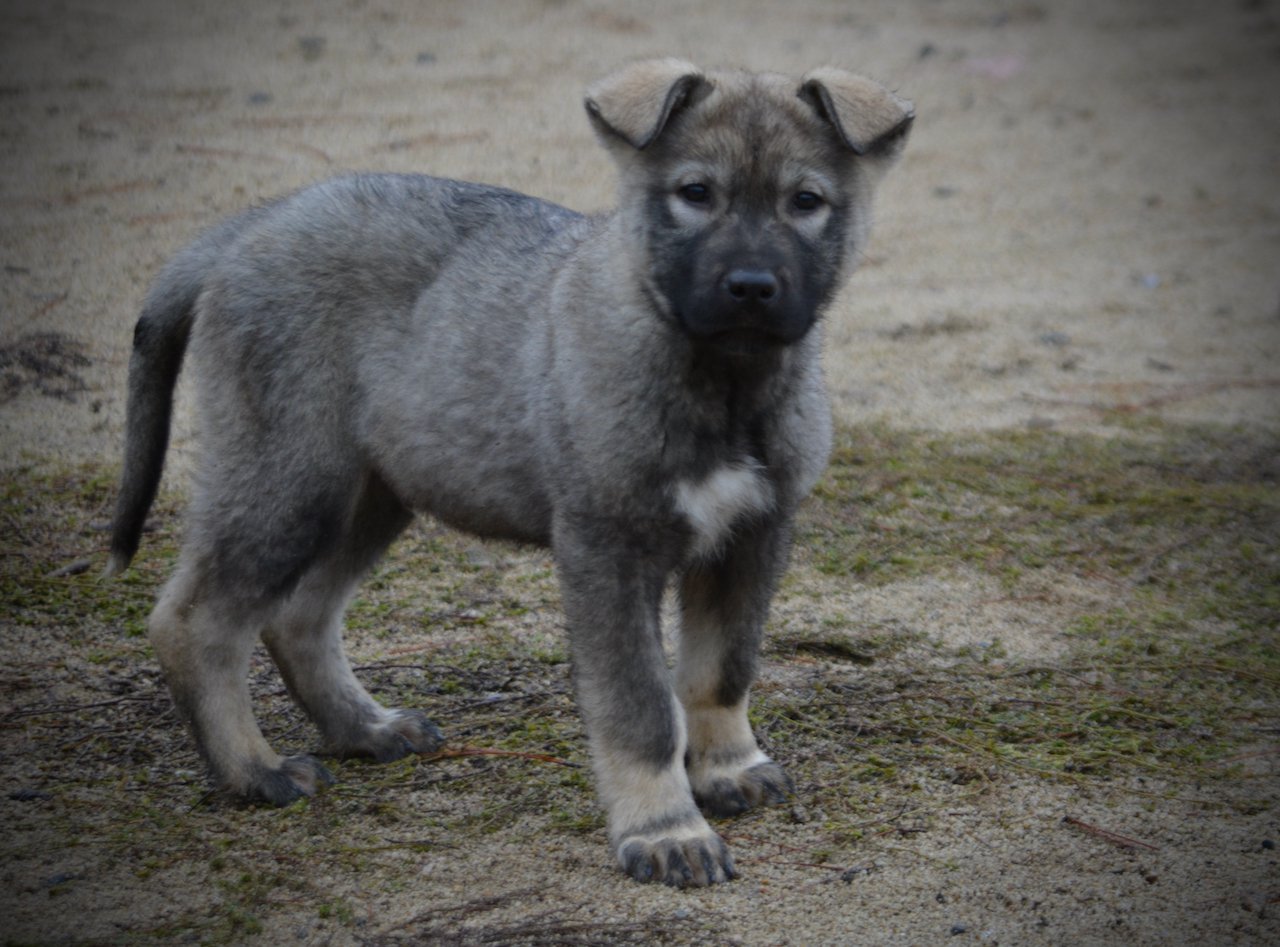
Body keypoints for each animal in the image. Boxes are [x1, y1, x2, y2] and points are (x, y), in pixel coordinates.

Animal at [107, 61, 911, 885]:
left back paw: (365, 727)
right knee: (196, 619)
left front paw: (725, 768)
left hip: (371, 492)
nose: (750, 286)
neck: (725, 383)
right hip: (288, 479)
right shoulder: (608, 549)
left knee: (298, 616)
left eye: (806, 202)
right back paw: (253, 770)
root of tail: (247, 226)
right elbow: (641, 707)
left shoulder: (753, 535)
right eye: (695, 193)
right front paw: (664, 828)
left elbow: (722, 670)